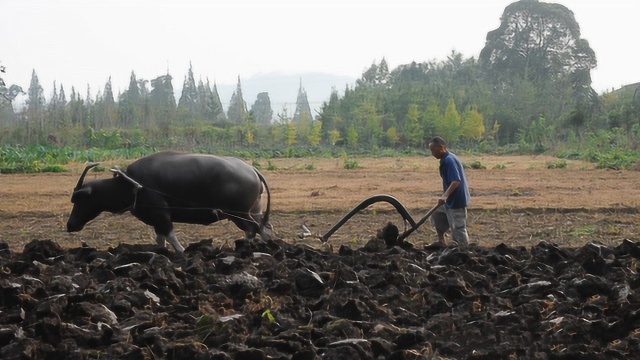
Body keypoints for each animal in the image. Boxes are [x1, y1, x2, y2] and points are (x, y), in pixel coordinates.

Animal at [66, 150, 272, 252]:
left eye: (79, 199)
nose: (70, 225)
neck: (132, 185)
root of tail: (251, 169)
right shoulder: (157, 221)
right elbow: (160, 239)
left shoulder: (162, 215)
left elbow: (171, 237)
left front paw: (181, 251)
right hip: (254, 211)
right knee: (264, 228)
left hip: (239, 214)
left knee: (252, 229)